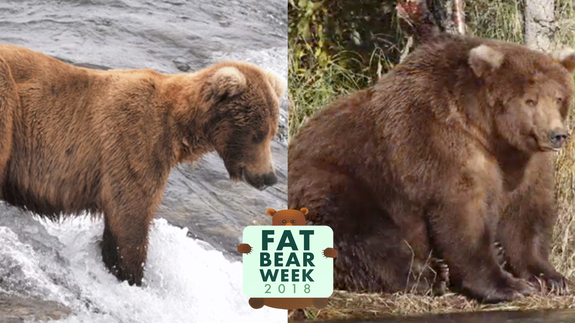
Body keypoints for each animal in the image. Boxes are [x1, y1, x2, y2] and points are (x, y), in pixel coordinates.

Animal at [0, 43, 286, 286]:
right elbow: (129, 219)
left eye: (272, 133)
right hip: (9, 106)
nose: (269, 177)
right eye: (257, 135)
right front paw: (131, 275)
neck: (178, 129)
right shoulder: (133, 144)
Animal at [290, 34, 575, 306]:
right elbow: (463, 216)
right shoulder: (440, 145)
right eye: (530, 100)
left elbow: (527, 213)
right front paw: (508, 286)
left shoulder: (523, 163)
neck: (489, 133)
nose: (557, 135)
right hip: (338, 181)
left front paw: (550, 277)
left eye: (558, 97)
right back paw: (431, 276)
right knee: (362, 235)